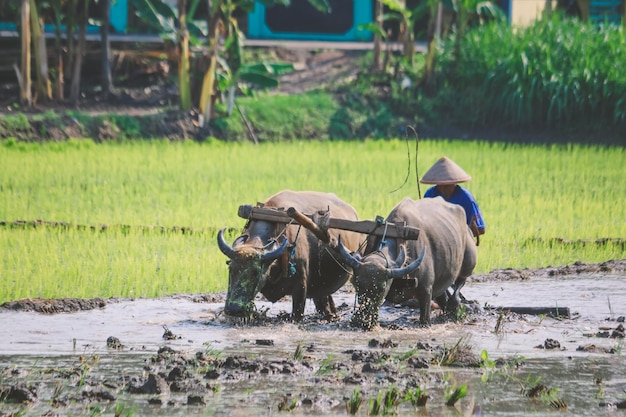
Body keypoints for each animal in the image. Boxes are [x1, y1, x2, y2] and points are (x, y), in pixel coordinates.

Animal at [338, 197, 476, 330]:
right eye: (357, 285)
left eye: (382, 288)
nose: (361, 321)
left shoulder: (426, 289)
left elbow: (425, 318)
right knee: (444, 295)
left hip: (469, 262)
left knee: (460, 282)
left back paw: (455, 305)